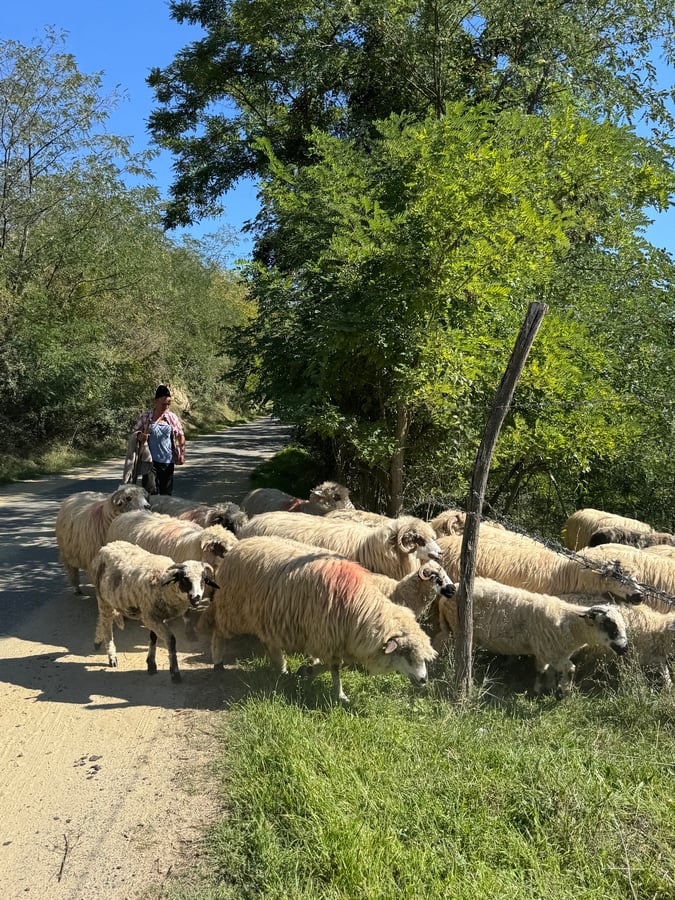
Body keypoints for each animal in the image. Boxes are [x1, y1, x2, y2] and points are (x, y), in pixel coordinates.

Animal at [90, 540, 219, 682]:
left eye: (203, 580)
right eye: (184, 579)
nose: (196, 597)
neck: (163, 583)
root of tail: (108, 546)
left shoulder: (155, 616)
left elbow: (153, 638)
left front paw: (151, 664)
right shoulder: (149, 617)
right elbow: (171, 640)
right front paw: (174, 673)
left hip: (108, 598)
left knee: (102, 619)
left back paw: (98, 640)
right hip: (103, 599)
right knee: (107, 626)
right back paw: (112, 656)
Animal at [200, 536, 437, 703]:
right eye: (406, 653)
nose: (424, 680)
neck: (360, 608)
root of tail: (238, 545)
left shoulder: (337, 639)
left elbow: (334, 665)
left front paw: (309, 672)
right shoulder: (326, 635)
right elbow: (335, 667)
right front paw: (337, 692)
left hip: (262, 614)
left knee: (269, 643)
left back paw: (281, 668)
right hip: (232, 608)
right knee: (218, 631)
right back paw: (218, 661)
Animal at [435, 577, 629, 695]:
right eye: (609, 625)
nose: (624, 648)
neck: (571, 626)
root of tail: (448, 593)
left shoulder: (554, 654)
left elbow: (555, 670)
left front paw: (553, 689)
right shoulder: (545, 651)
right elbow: (552, 670)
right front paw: (551, 691)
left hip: (450, 627)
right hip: (457, 627)